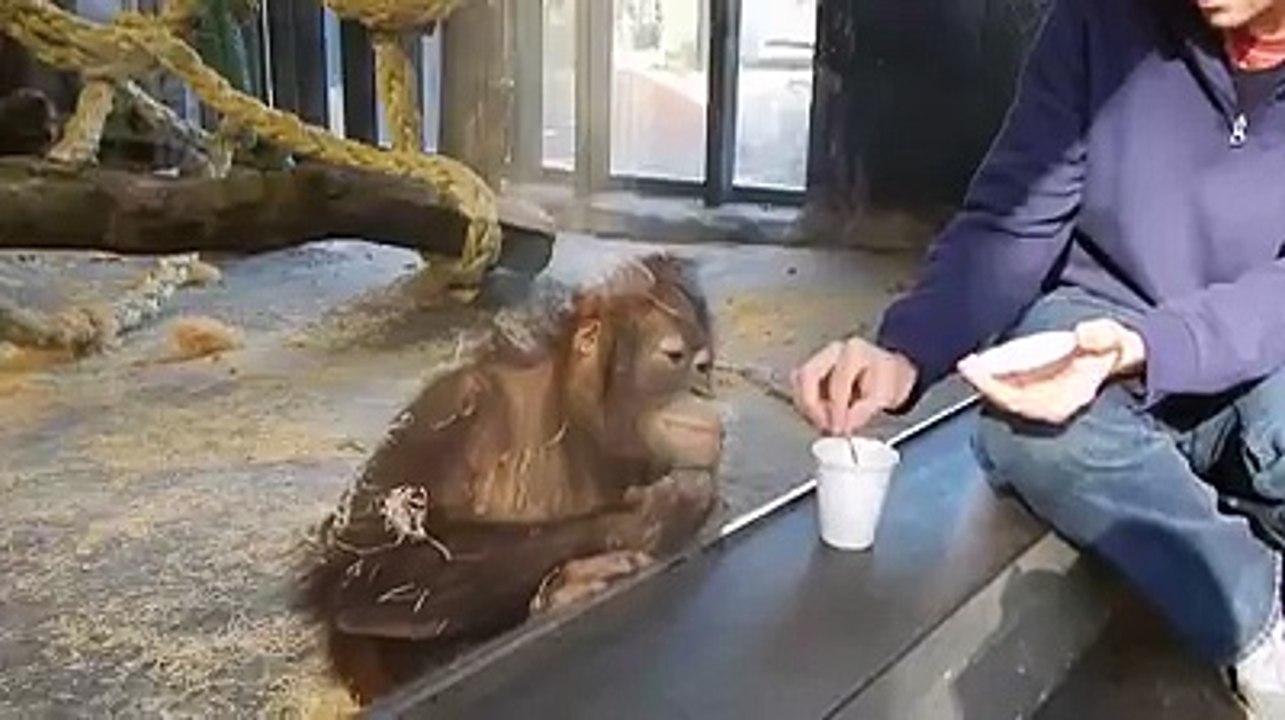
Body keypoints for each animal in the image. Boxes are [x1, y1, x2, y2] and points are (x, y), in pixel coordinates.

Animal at [296, 253, 726, 704]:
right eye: (674, 357)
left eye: (704, 367)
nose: (703, 392)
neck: (570, 422)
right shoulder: (449, 410)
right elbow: (366, 568)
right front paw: (657, 514)